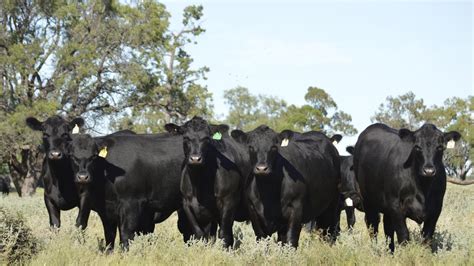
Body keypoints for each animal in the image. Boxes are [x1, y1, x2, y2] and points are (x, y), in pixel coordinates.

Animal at [165, 117, 252, 248]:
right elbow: (200, 234)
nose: (195, 159)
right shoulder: (187, 203)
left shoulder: (229, 201)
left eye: (206, 138)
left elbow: (224, 235)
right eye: (185, 137)